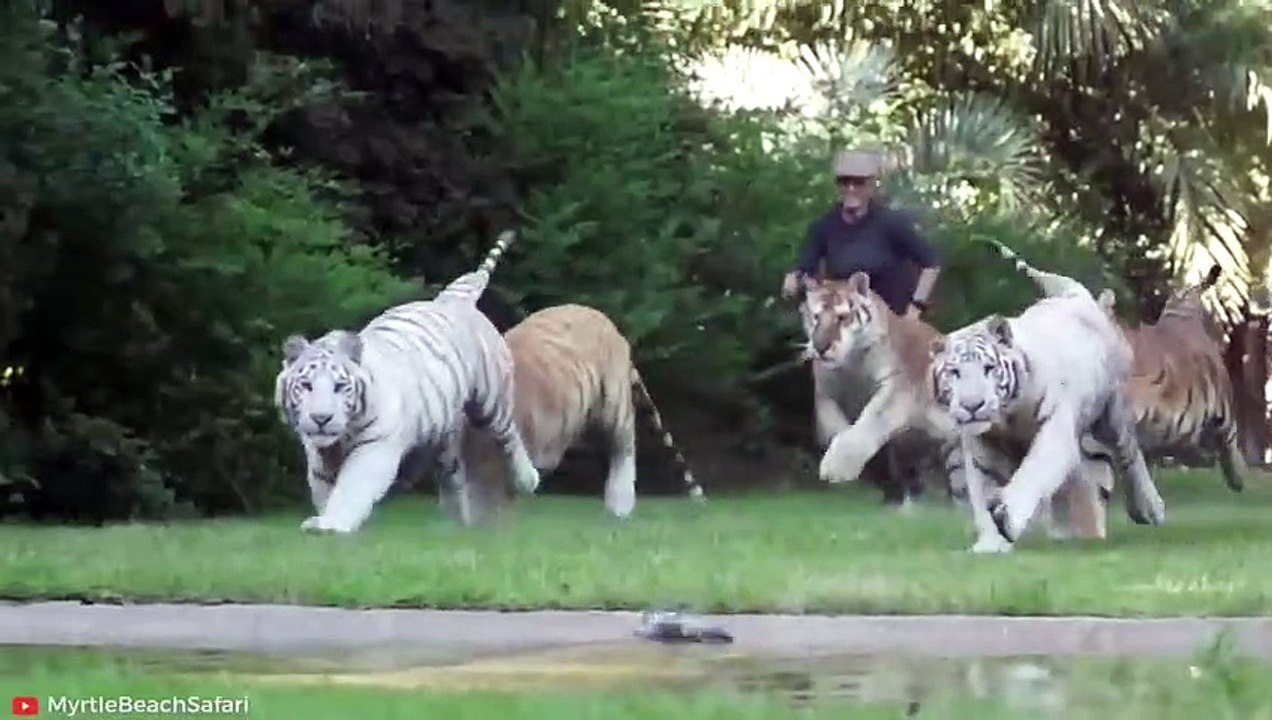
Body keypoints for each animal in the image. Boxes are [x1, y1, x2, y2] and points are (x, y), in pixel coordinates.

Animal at [274, 230, 541, 533]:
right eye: (306, 386)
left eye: (339, 387)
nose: (321, 418)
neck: (336, 442)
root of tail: (450, 300)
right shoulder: (318, 455)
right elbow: (324, 489)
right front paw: (326, 518)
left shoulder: (375, 447)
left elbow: (352, 487)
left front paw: (333, 525)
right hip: (443, 435)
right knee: (454, 475)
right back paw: (459, 524)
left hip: (492, 398)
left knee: (508, 434)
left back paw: (527, 480)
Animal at [797, 271, 963, 503]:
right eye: (816, 317)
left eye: (842, 317)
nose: (820, 347)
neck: (851, 363)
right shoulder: (825, 393)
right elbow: (836, 426)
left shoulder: (896, 387)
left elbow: (870, 421)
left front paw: (837, 467)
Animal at [927, 239, 1167, 553]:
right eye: (954, 373)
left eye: (989, 369)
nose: (972, 405)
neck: (1007, 417)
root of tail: (1076, 297)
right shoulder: (981, 444)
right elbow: (983, 488)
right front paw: (990, 543)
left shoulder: (1056, 427)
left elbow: (1035, 471)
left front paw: (1007, 517)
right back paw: (1068, 532)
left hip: (1112, 411)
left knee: (1130, 454)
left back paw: (1149, 508)